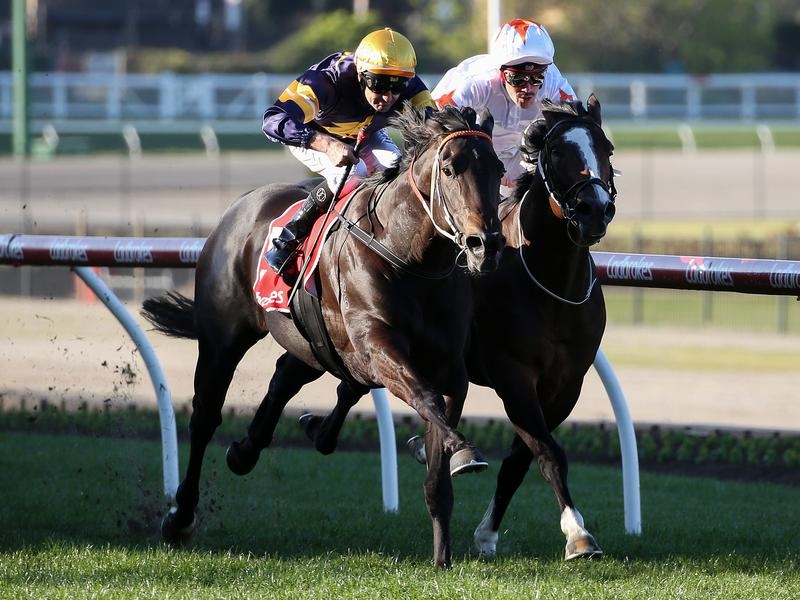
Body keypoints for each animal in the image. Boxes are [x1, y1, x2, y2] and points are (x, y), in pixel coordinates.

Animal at [140, 103, 506, 569]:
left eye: (498, 169)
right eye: (449, 168)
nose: (485, 245)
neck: (408, 256)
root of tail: (239, 207)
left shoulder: (449, 368)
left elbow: (437, 449)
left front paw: (442, 556)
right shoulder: (378, 346)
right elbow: (426, 400)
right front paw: (465, 449)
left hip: (310, 340)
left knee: (284, 377)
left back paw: (247, 451)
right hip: (223, 338)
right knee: (205, 418)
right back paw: (181, 516)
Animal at [294, 95, 617, 560]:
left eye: (606, 149)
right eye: (557, 152)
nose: (594, 210)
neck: (552, 284)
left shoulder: (566, 385)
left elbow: (521, 458)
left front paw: (489, 532)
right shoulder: (512, 374)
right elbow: (547, 452)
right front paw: (577, 533)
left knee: (351, 383)